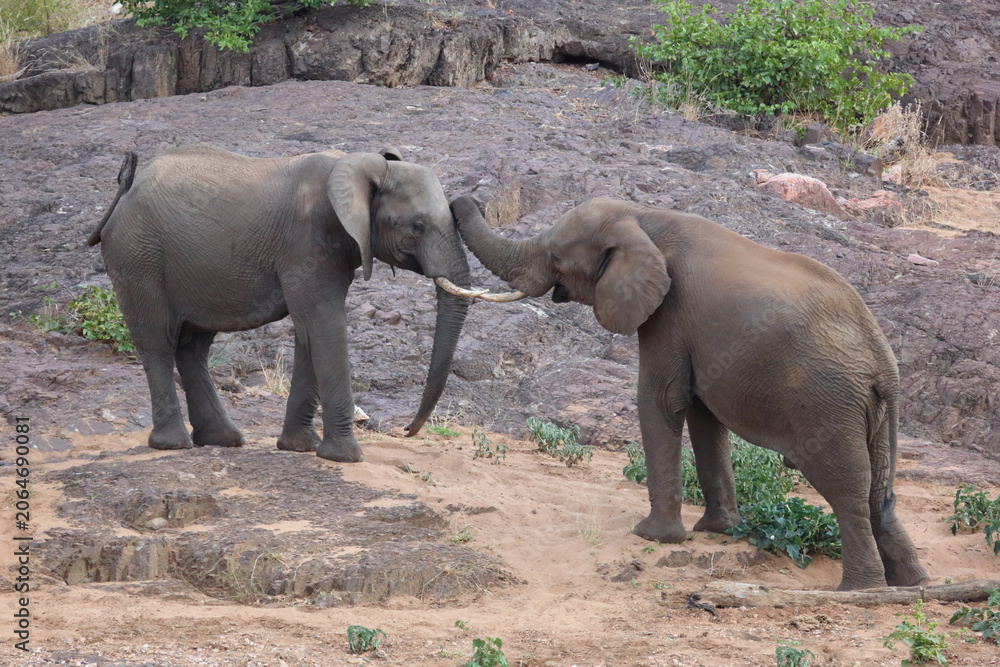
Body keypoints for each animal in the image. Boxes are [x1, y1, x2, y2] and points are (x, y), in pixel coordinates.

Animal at [87, 144, 473, 463]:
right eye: (418, 226)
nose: (406, 430)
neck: (362, 166)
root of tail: (124, 191)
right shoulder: (307, 243)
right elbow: (324, 326)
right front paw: (345, 457)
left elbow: (309, 332)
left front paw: (299, 448)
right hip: (138, 256)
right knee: (158, 341)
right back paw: (173, 444)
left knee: (193, 345)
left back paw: (222, 439)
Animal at [451, 195, 928, 591]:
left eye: (555, 256)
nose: (460, 198)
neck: (641, 216)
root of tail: (882, 359)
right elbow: (703, 415)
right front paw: (717, 531)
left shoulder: (669, 311)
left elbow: (660, 401)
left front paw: (653, 536)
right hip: (871, 410)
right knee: (878, 491)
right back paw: (912, 584)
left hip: (828, 400)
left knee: (847, 488)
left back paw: (861, 591)